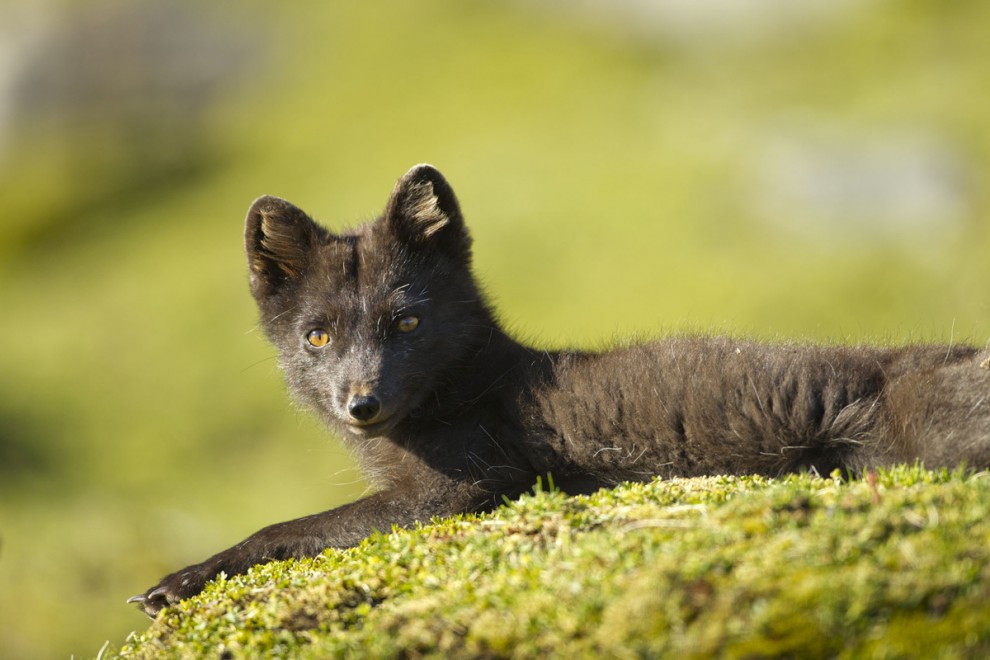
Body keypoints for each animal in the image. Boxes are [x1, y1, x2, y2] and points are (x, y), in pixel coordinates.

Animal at [132, 162, 990, 616]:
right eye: (317, 336)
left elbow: (285, 527)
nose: (361, 403)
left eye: (406, 321)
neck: (466, 389)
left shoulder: (459, 488)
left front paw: (179, 579)